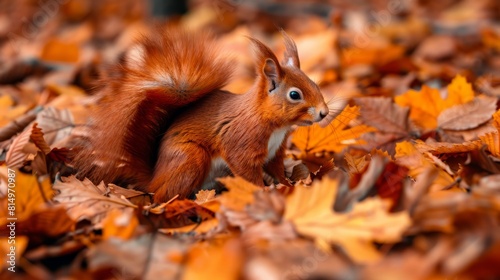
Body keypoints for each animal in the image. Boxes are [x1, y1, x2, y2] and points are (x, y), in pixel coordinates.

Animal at [74, 27, 330, 202]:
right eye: (295, 95)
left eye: (315, 84)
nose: (324, 113)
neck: (274, 125)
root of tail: (154, 178)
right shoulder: (241, 141)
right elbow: (247, 172)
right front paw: (264, 190)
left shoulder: (275, 151)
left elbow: (277, 169)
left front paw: (289, 184)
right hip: (190, 158)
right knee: (164, 195)